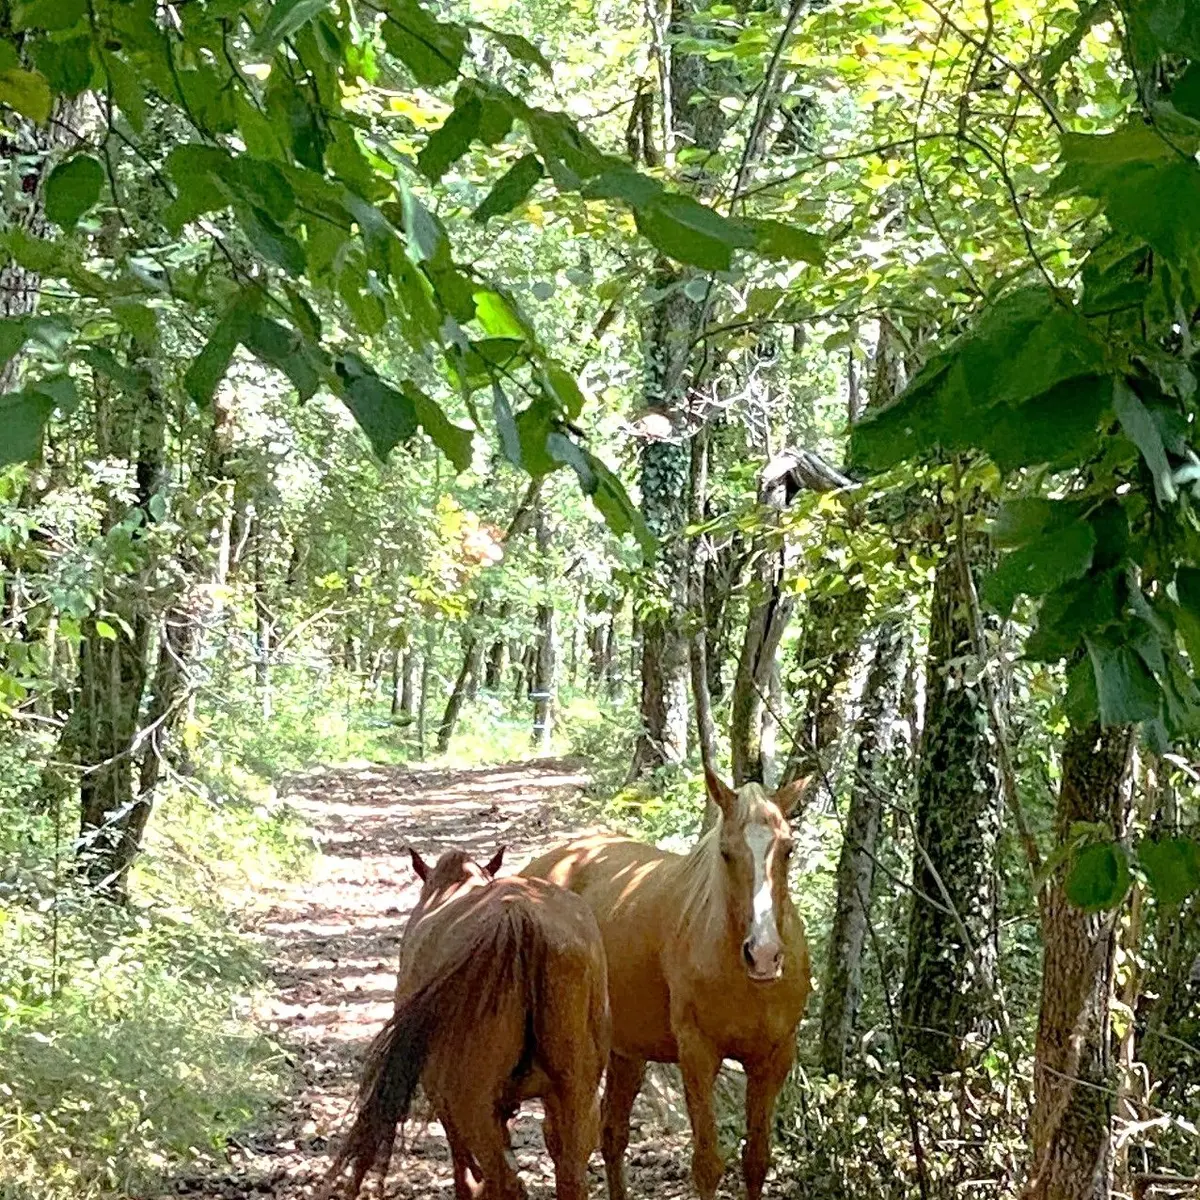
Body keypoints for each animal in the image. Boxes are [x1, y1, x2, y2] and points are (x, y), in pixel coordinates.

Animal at [323, 845, 611, 1200]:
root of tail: (520, 916)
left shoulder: (445, 1100)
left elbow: (462, 1165)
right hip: (576, 1093)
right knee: (569, 1173)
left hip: (470, 1101)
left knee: (503, 1180)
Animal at [522, 768, 811, 1200]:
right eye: (725, 852)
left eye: (788, 850)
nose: (763, 954)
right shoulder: (697, 1054)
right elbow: (707, 1165)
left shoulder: (773, 1059)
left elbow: (756, 1160)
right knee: (562, 1143)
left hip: (625, 1051)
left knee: (612, 1134)